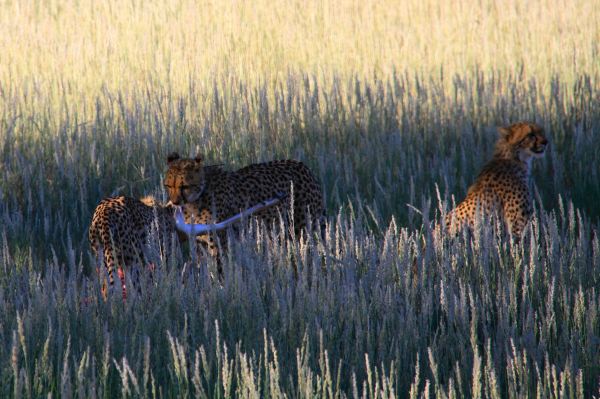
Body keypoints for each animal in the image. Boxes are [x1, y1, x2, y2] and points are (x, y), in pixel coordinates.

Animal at [162, 153, 326, 260]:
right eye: (169, 186)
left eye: (184, 186)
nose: (175, 202)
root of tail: (302, 165)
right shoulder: (199, 242)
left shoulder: (219, 242)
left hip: (303, 228)